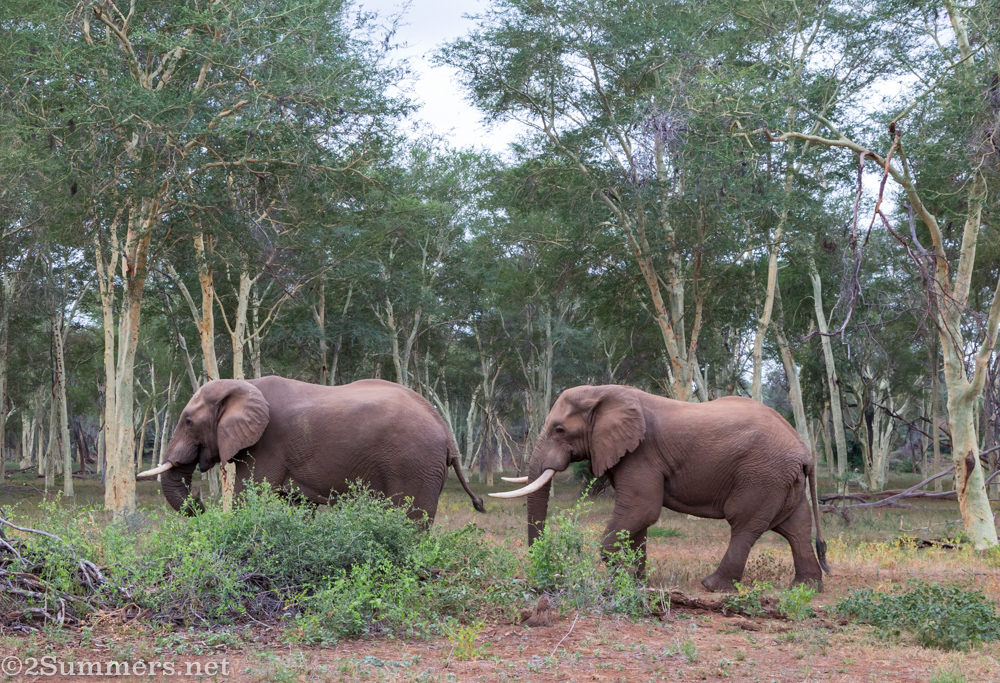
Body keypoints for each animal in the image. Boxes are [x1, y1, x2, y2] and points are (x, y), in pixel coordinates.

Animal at [137, 376, 485, 523]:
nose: (199, 502)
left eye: (188, 421)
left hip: (414, 464)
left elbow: (250, 496)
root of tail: (446, 431)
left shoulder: (269, 444)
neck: (243, 383)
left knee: (411, 520)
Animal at [492, 384, 829, 592]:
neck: (605, 392)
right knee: (795, 528)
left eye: (559, 430)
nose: (544, 578)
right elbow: (637, 520)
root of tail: (805, 450)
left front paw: (618, 582)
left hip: (762, 476)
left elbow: (642, 510)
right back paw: (805, 587)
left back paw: (711, 586)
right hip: (782, 479)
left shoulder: (642, 454)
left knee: (745, 524)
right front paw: (636, 582)